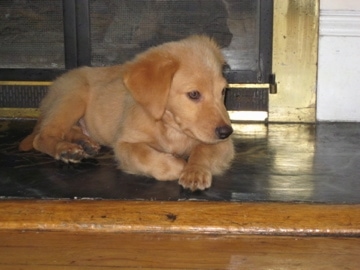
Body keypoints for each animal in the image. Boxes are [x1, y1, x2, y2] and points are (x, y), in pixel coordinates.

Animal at [19, 35, 235, 191]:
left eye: (223, 91)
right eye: (194, 94)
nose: (227, 132)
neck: (170, 127)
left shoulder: (224, 145)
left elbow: (203, 149)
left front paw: (194, 171)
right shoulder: (124, 145)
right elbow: (145, 155)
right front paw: (179, 165)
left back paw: (83, 143)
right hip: (73, 96)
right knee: (43, 136)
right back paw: (65, 149)